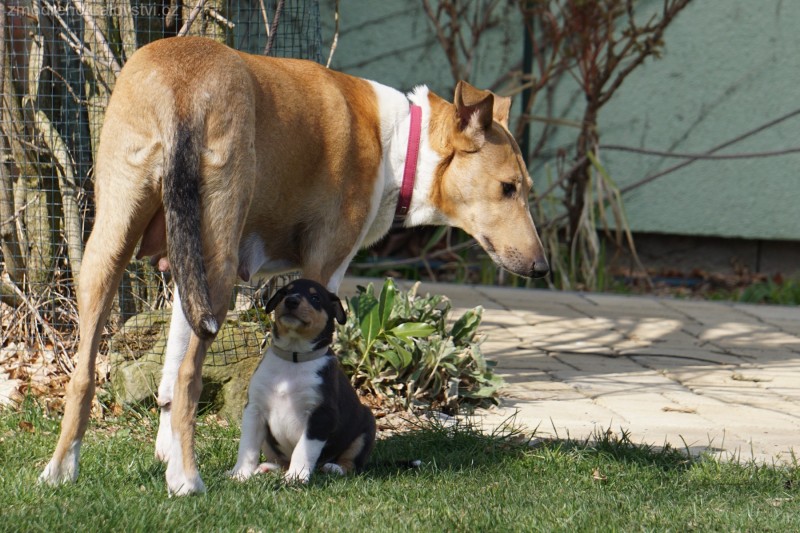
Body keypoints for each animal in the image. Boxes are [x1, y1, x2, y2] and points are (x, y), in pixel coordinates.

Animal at [227, 278, 374, 482]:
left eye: (315, 298)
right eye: (284, 292)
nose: (291, 301)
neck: (293, 358)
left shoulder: (321, 415)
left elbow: (303, 449)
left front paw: (295, 477)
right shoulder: (254, 409)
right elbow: (247, 447)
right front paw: (240, 474)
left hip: (366, 427)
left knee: (351, 463)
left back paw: (334, 468)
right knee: (281, 461)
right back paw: (267, 468)